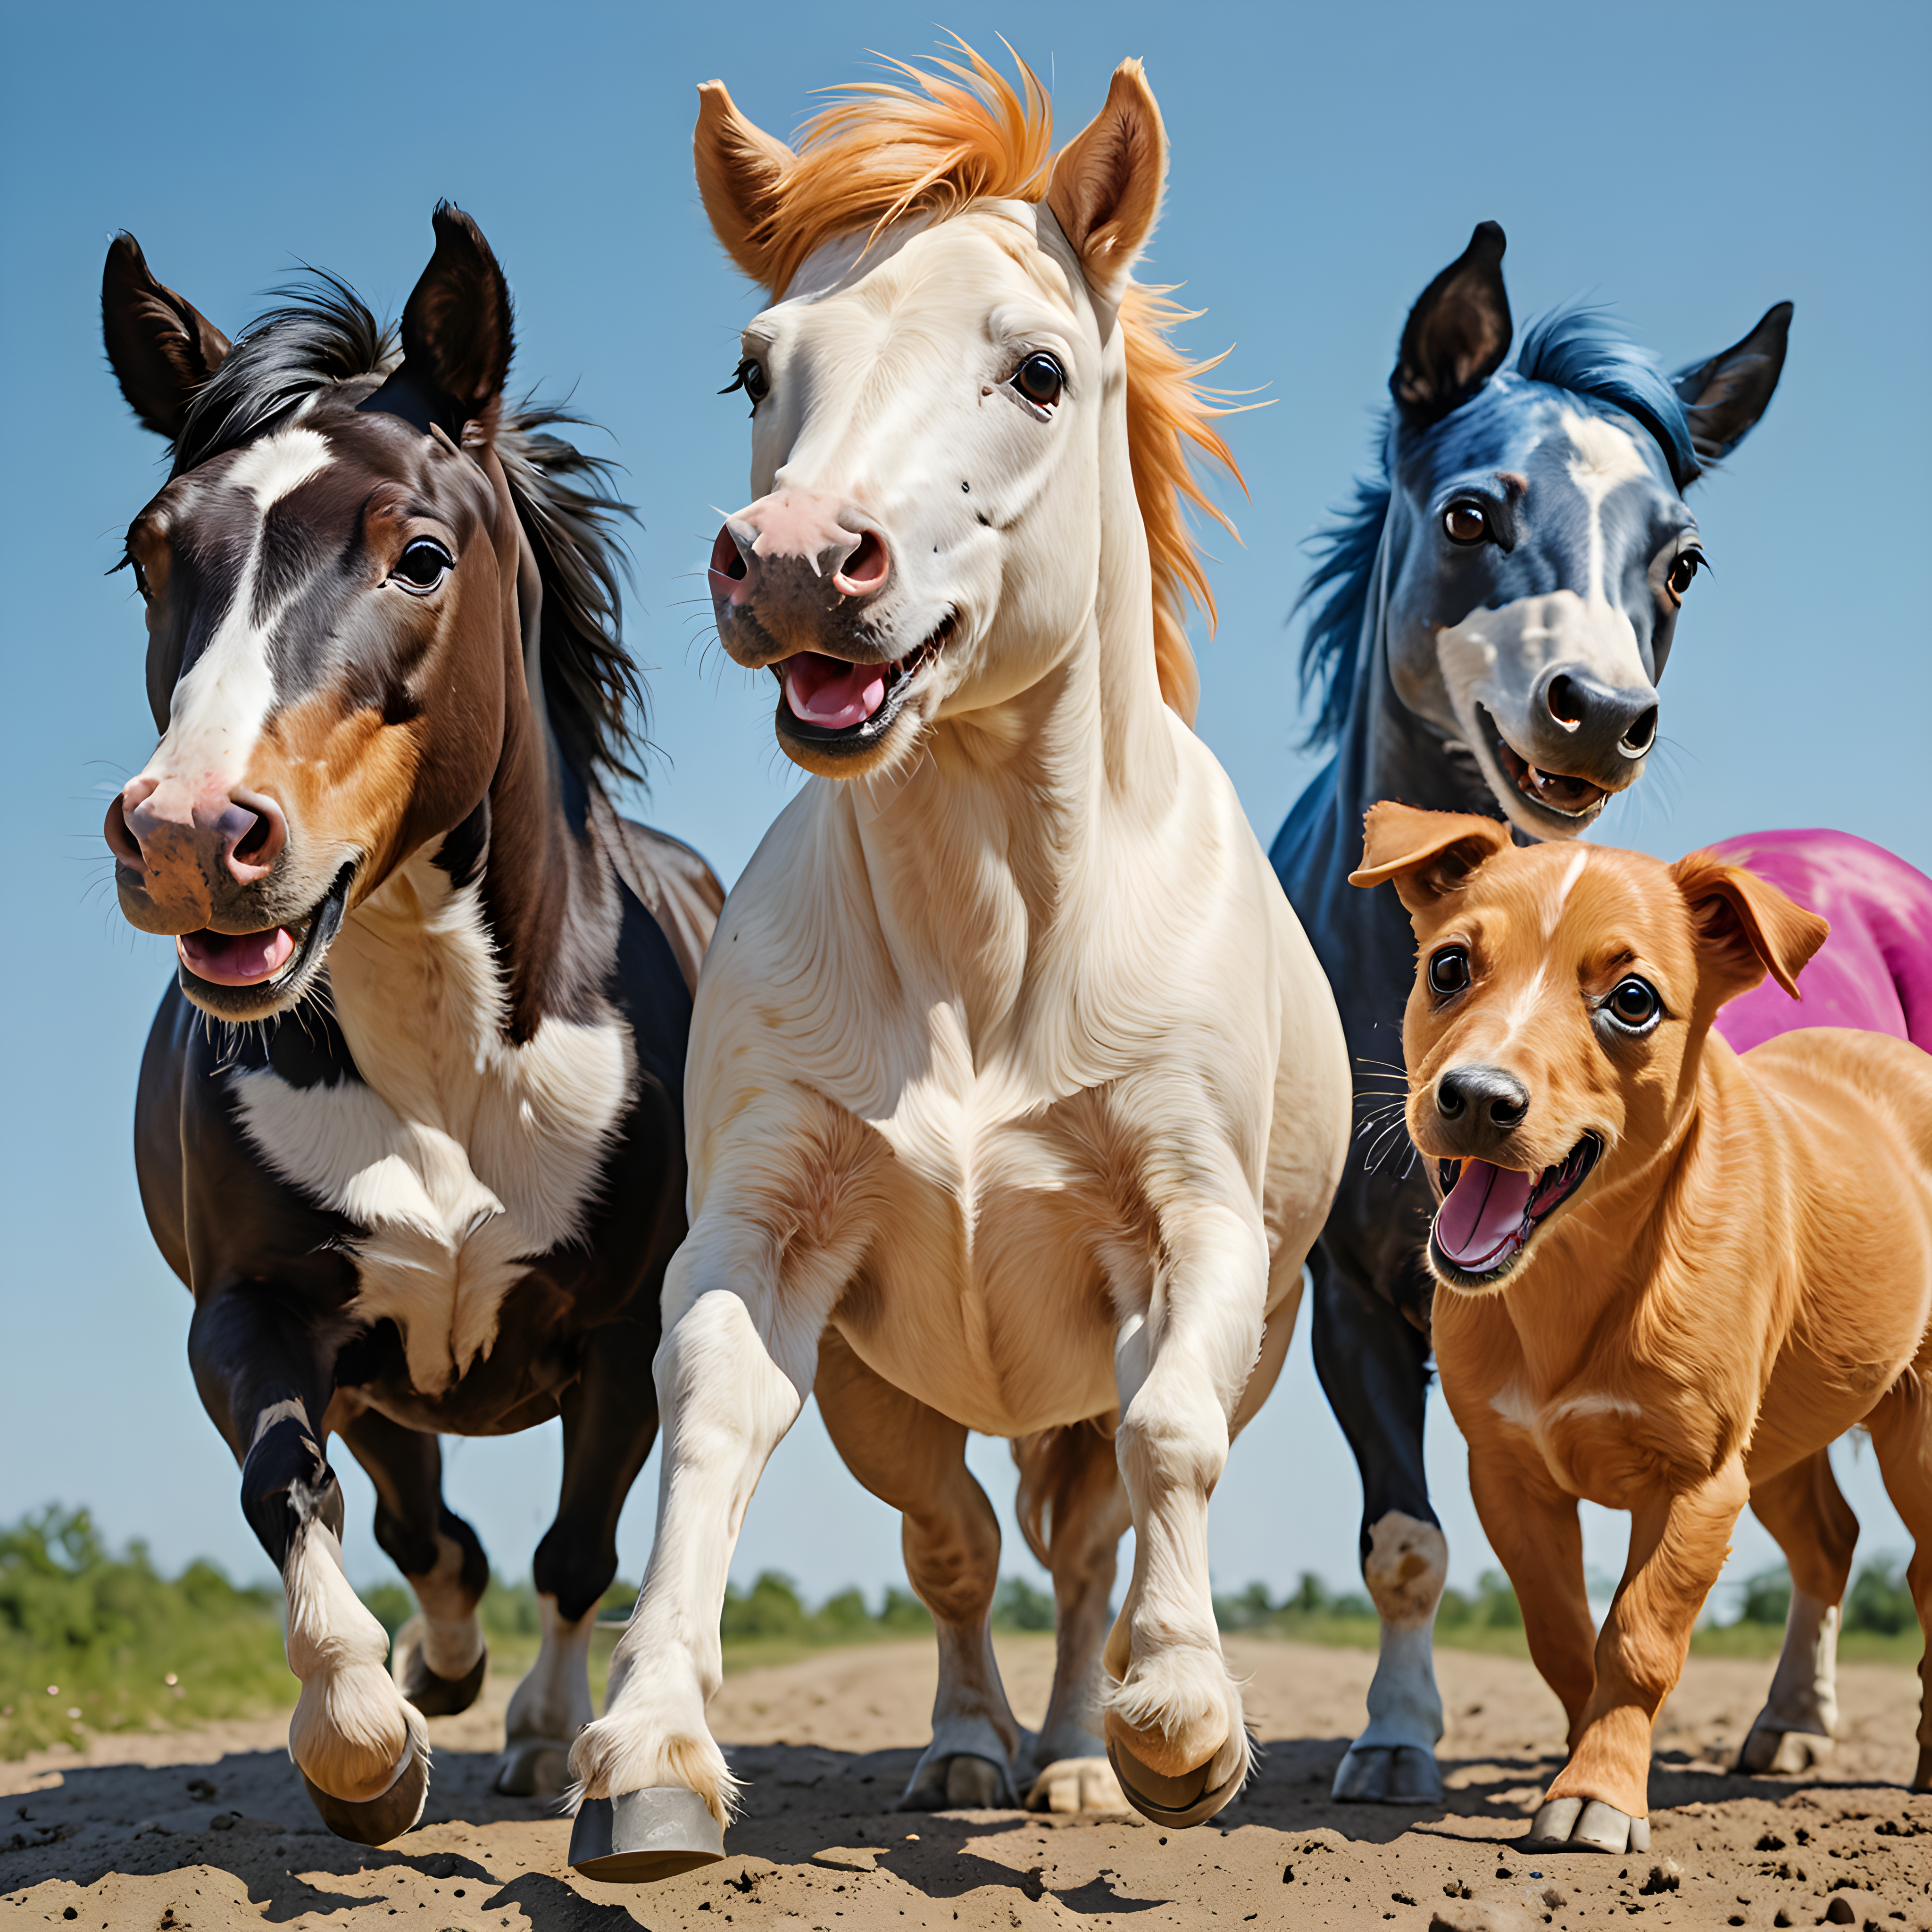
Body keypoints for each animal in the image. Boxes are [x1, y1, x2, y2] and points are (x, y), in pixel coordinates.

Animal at [100, 206, 722, 1845]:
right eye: (150, 555)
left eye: (420, 557)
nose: (188, 838)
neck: (451, 1059)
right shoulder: (262, 1311)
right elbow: (302, 1495)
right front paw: (368, 1739)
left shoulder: (616, 1333)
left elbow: (578, 1549)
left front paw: (551, 1738)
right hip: (385, 1375)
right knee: (419, 1521)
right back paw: (436, 1672)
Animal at [561, 49, 1350, 1881]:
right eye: (755, 365)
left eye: (1039, 369)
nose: (793, 559)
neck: (993, 953)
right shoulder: (773, 1238)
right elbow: (721, 1423)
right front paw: (647, 1750)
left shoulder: (1191, 1235)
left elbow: (1164, 1438)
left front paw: (1180, 1721)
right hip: (897, 1394)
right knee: (967, 1543)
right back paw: (971, 1749)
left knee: (1089, 1528)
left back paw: (1077, 1753)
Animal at [1269, 222, 1791, 1802]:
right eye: (1471, 514)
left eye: (1680, 558)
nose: (1601, 712)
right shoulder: (1355, 1300)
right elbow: (1407, 1542)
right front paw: (1392, 1743)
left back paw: (1794, 1725)